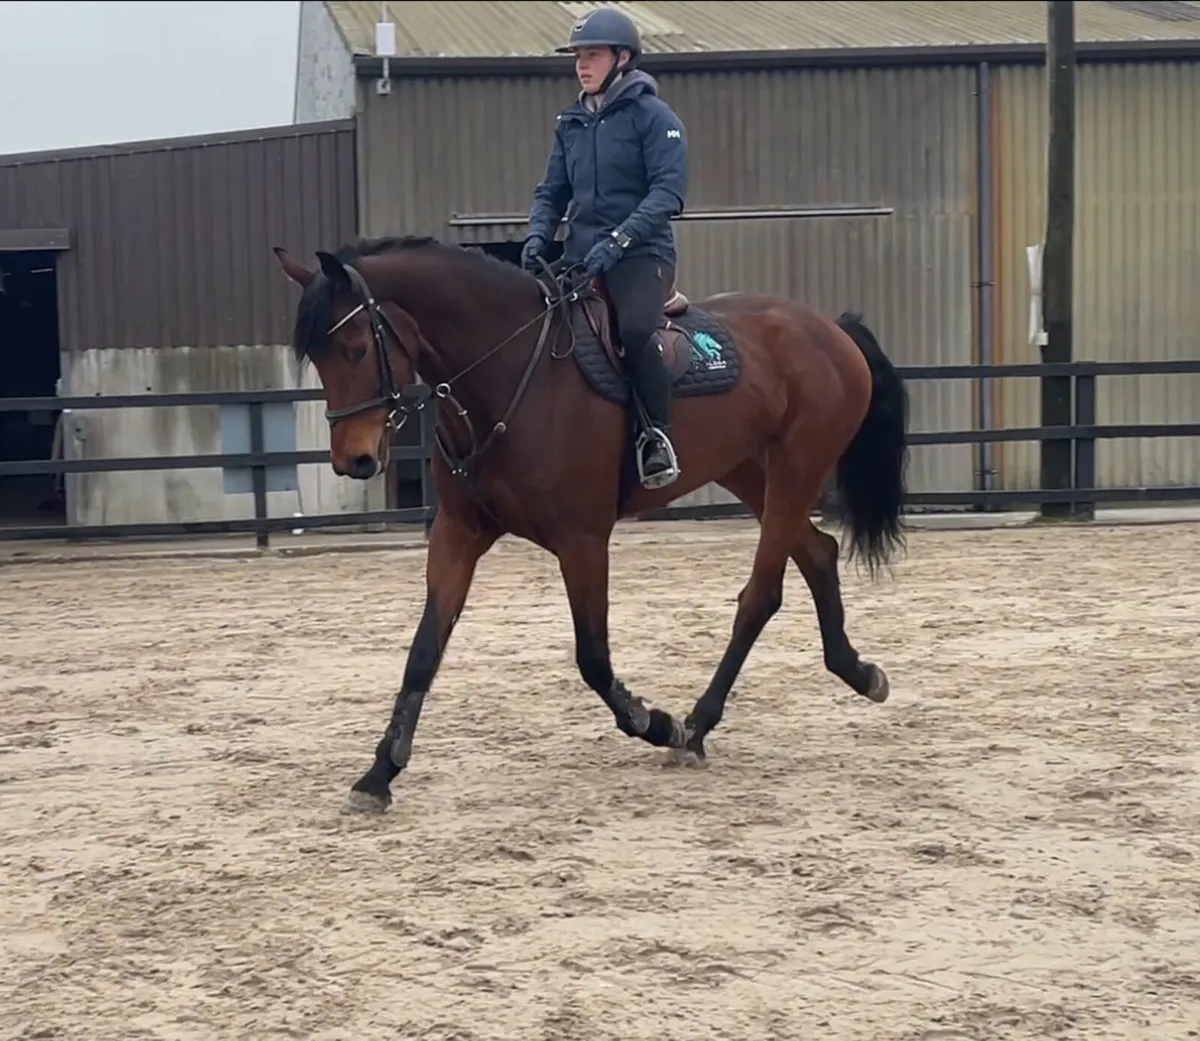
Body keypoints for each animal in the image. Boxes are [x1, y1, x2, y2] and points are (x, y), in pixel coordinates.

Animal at [272, 235, 910, 814]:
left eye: (356, 348)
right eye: (319, 358)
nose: (352, 461)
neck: (509, 374)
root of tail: (828, 327)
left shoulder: (582, 542)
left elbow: (593, 658)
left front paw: (656, 722)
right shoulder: (458, 534)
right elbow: (424, 651)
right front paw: (379, 774)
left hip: (796, 467)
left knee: (762, 595)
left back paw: (696, 728)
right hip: (751, 473)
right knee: (818, 553)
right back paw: (858, 672)